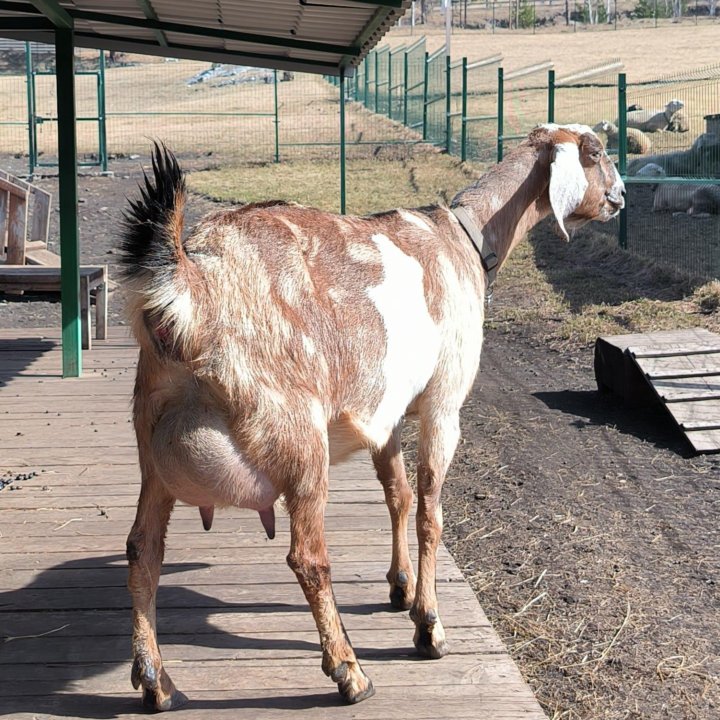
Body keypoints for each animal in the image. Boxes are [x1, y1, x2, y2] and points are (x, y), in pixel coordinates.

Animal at [121, 126, 620, 712]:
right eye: (595, 152)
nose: (619, 198)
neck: (465, 241)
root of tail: (191, 283)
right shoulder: (443, 401)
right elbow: (430, 511)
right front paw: (429, 625)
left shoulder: (388, 411)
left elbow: (398, 495)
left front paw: (400, 586)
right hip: (298, 437)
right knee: (308, 558)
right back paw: (349, 671)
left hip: (151, 439)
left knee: (143, 548)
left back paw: (156, 679)